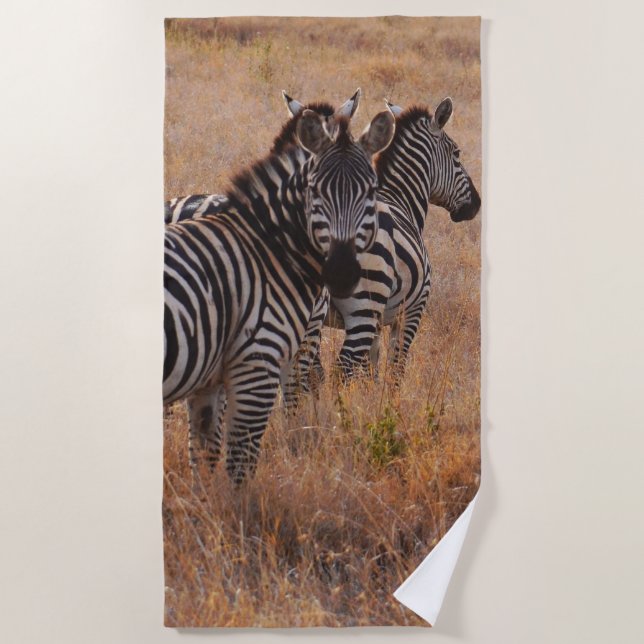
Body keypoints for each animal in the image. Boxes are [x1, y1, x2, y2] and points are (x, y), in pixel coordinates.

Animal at [164, 104, 395, 484]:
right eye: (315, 190)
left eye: (372, 191)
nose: (342, 273)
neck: (267, 249)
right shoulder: (257, 361)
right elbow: (240, 465)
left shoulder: (214, 376)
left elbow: (206, 460)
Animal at [289, 96, 481, 389]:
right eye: (457, 154)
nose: (476, 204)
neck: (400, 198)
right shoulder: (411, 312)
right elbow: (395, 371)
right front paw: (388, 401)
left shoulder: (379, 323)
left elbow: (372, 370)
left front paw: (368, 397)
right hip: (363, 308)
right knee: (340, 370)